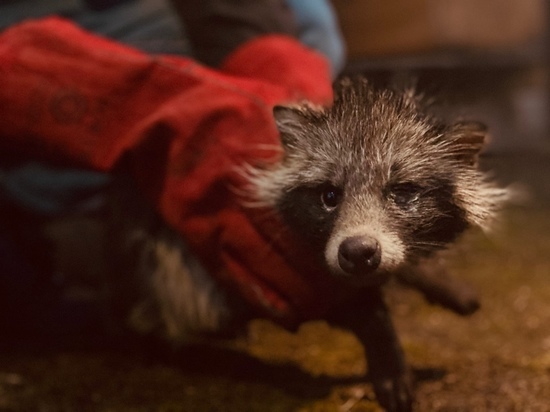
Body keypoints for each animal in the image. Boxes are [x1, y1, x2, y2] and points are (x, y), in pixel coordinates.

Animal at [112, 79, 508, 412]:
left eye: (402, 192)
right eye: (328, 196)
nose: (357, 252)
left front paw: (442, 283)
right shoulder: (291, 283)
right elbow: (369, 312)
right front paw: (389, 361)